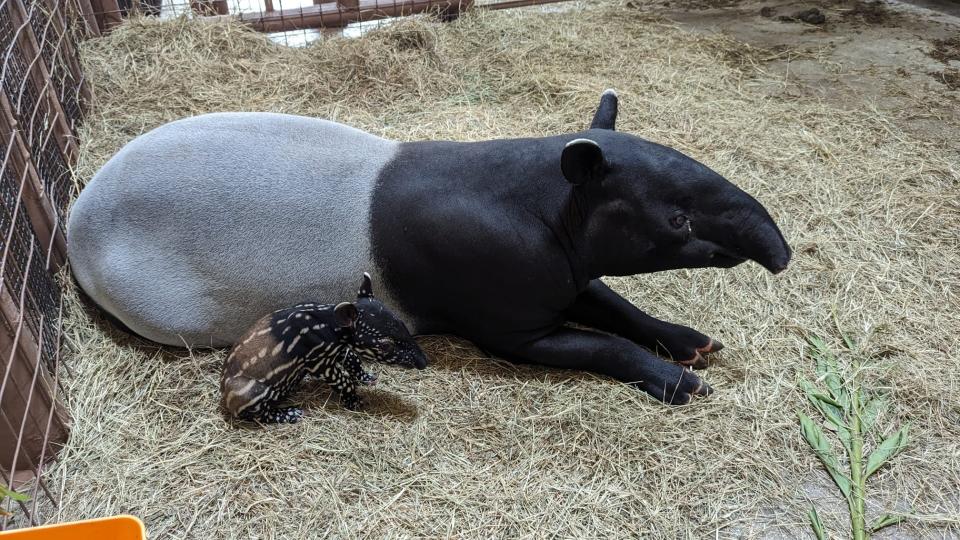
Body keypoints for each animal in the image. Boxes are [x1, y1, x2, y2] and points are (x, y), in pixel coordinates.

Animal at [65, 90, 788, 404]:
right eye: (677, 220)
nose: (780, 256)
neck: (549, 204)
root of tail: (75, 217)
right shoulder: (506, 319)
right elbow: (596, 344)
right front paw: (681, 381)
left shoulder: (561, 270)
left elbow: (613, 305)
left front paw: (691, 342)